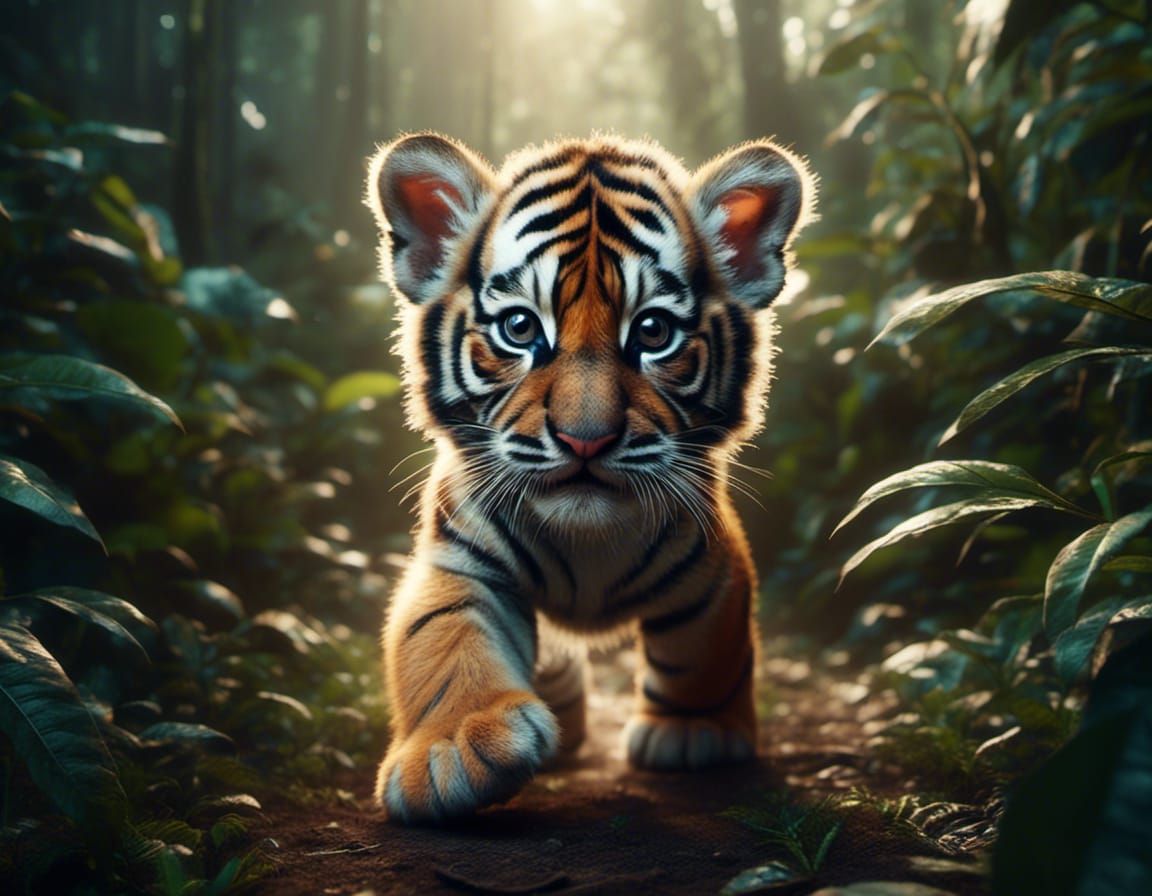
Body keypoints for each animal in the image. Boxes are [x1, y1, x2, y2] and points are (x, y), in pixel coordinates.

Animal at [365, 132, 814, 824]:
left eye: (653, 333)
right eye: (520, 327)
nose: (585, 438)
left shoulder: (711, 560)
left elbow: (705, 644)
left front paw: (696, 731)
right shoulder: (461, 556)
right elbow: (440, 632)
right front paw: (454, 750)